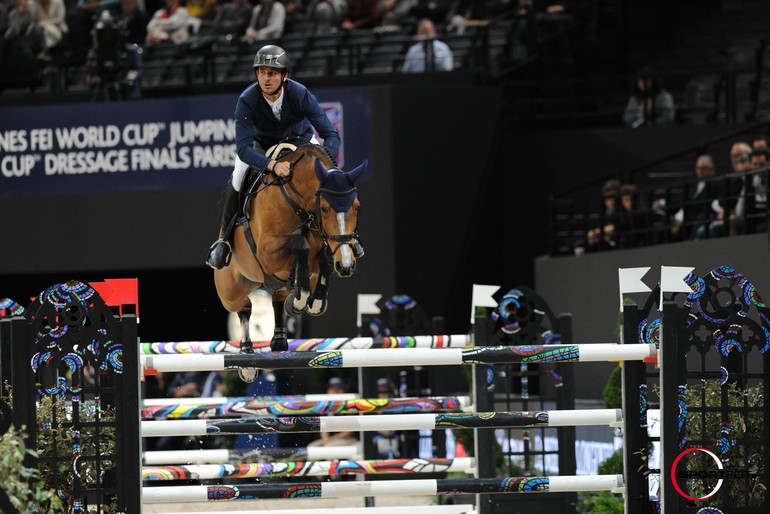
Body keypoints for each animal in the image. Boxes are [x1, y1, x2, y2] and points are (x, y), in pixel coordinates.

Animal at [212, 144, 364, 380]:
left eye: (357, 206)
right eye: (325, 208)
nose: (346, 265)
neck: (300, 204)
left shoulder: (323, 253)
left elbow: (323, 262)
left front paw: (311, 302)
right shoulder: (268, 253)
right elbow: (300, 243)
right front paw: (300, 300)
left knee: (277, 298)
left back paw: (279, 338)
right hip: (230, 290)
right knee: (244, 308)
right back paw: (247, 359)